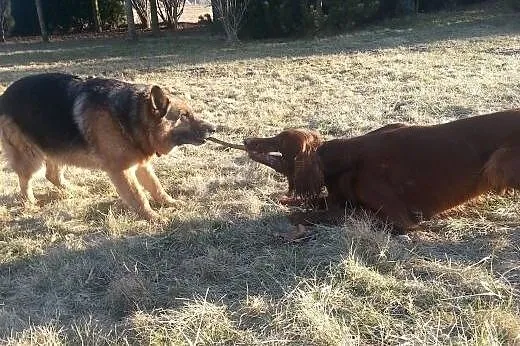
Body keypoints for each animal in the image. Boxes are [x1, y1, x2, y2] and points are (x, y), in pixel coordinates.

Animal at [0, 72, 215, 219]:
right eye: (184, 116)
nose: (214, 128)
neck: (130, 116)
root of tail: (3, 96)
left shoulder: (141, 164)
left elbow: (156, 187)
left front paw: (170, 202)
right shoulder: (122, 170)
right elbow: (139, 196)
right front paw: (153, 217)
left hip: (57, 147)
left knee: (52, 175)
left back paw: (74, 190)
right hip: (31, 157)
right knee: (25, 180)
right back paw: (30, 203)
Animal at [246, 110, 520, 235]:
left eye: (279, 140)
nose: (247, 140)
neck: (344, 160)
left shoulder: (401, 219)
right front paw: (286, 200)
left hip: (498, 164)